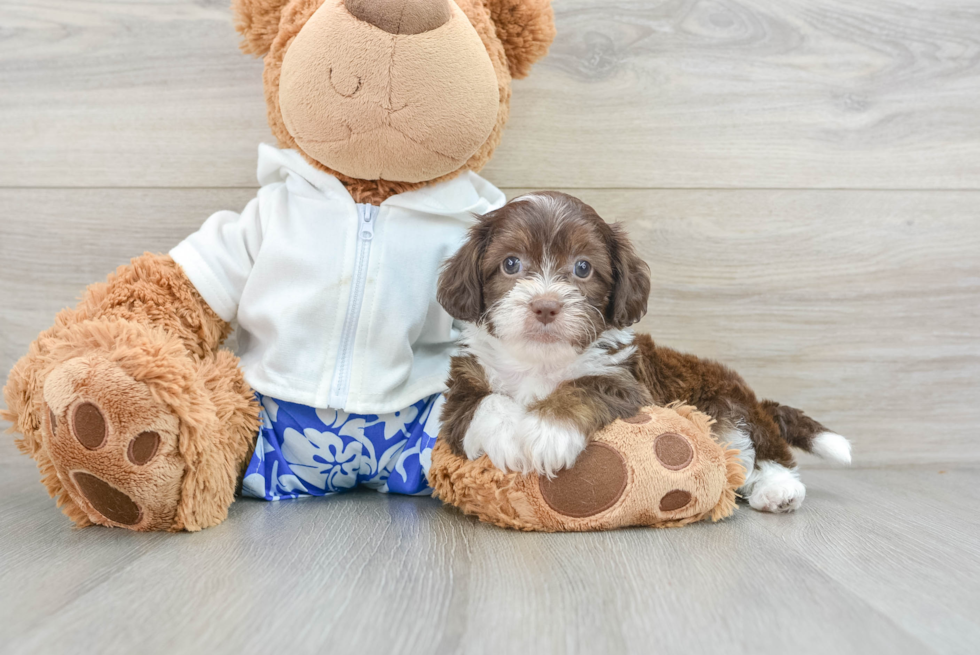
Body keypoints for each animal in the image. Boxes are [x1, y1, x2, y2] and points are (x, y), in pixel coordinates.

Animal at [436, 192, 848, 516]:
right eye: (511, 263)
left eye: (583, 268)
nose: (545, 306)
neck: (541, 359)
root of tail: (753, 398)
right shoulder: (461, 387)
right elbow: (484, 402)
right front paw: (508, 436)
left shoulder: (626, 382)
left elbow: (583, 387)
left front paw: (546, 432)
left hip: (727, 406)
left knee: (760, 451)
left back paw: (779, 489)